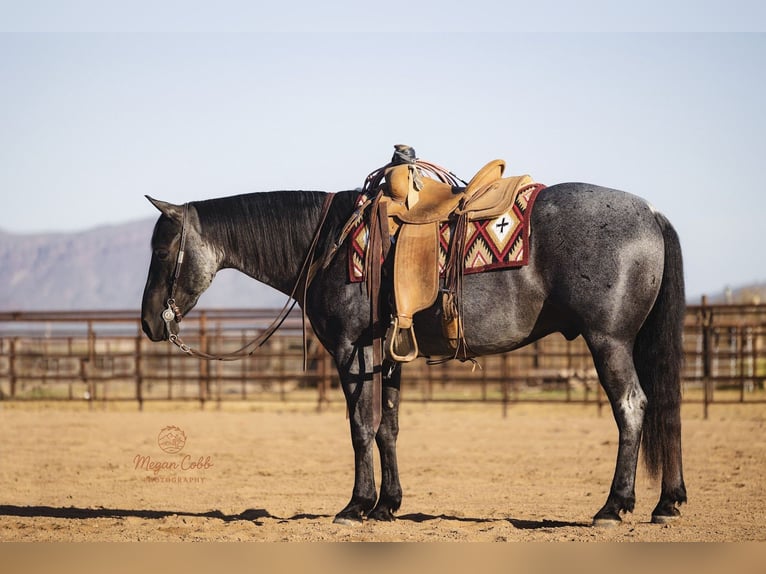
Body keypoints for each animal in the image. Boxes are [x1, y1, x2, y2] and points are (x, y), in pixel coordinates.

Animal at [140, 182, 687, 527]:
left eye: (162, 252)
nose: (148, 323)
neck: (332, 244)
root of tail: (652, 214)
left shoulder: (352, 351)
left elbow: (360, 427)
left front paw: (356, 506)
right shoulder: (388, 354)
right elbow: (388, 427)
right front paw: (388, 505)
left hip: (609, 341)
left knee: (632, 408)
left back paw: (614, 506)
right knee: (665, 406)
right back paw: (667, 503)